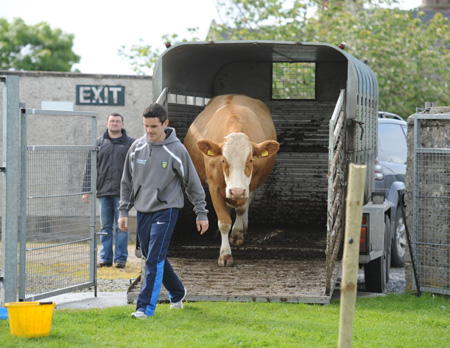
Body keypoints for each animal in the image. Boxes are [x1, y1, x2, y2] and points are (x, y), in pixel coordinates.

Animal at [183, 94, 278, 266]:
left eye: (250, 160)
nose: (236, 191)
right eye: (223, 160)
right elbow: (224, 221)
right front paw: (225, 254)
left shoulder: (250, 185)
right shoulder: (214, 186)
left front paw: (237, 233)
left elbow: (241, 208)